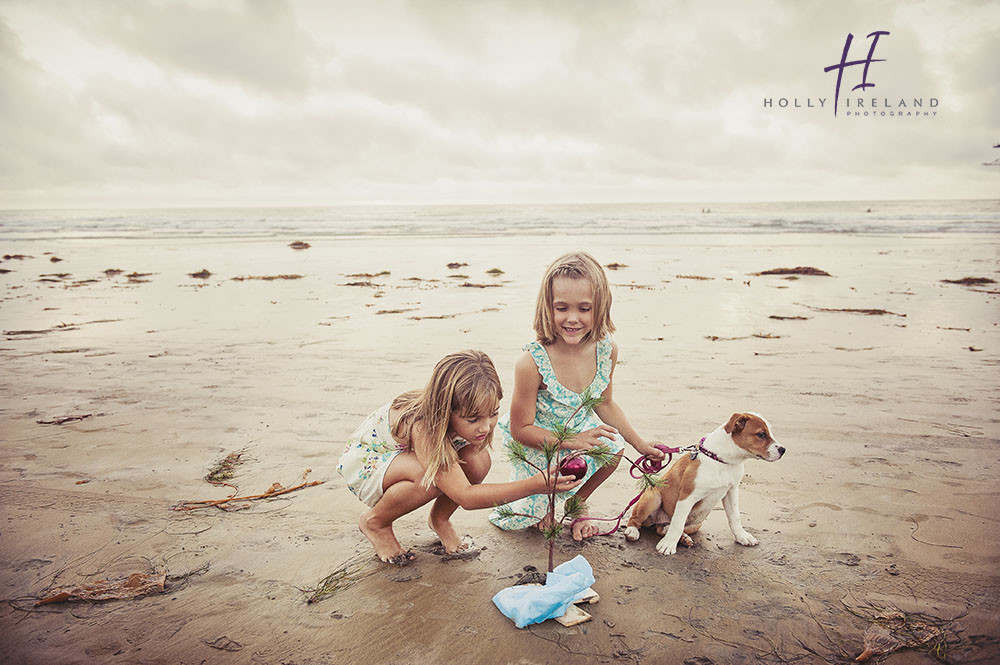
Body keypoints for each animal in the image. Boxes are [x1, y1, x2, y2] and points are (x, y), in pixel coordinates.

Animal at [624, 412, 780, 552]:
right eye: (761, 434)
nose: (783, 450)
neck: (723, 461)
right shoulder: (687, 496)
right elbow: (678, 523)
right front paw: (668, 545)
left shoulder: (731, 491)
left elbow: (735, 517)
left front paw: (742, 537)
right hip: (652, 497)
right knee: (636, 519)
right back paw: (632, 531)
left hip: (696, 524)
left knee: (662, 529)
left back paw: (683, 538)